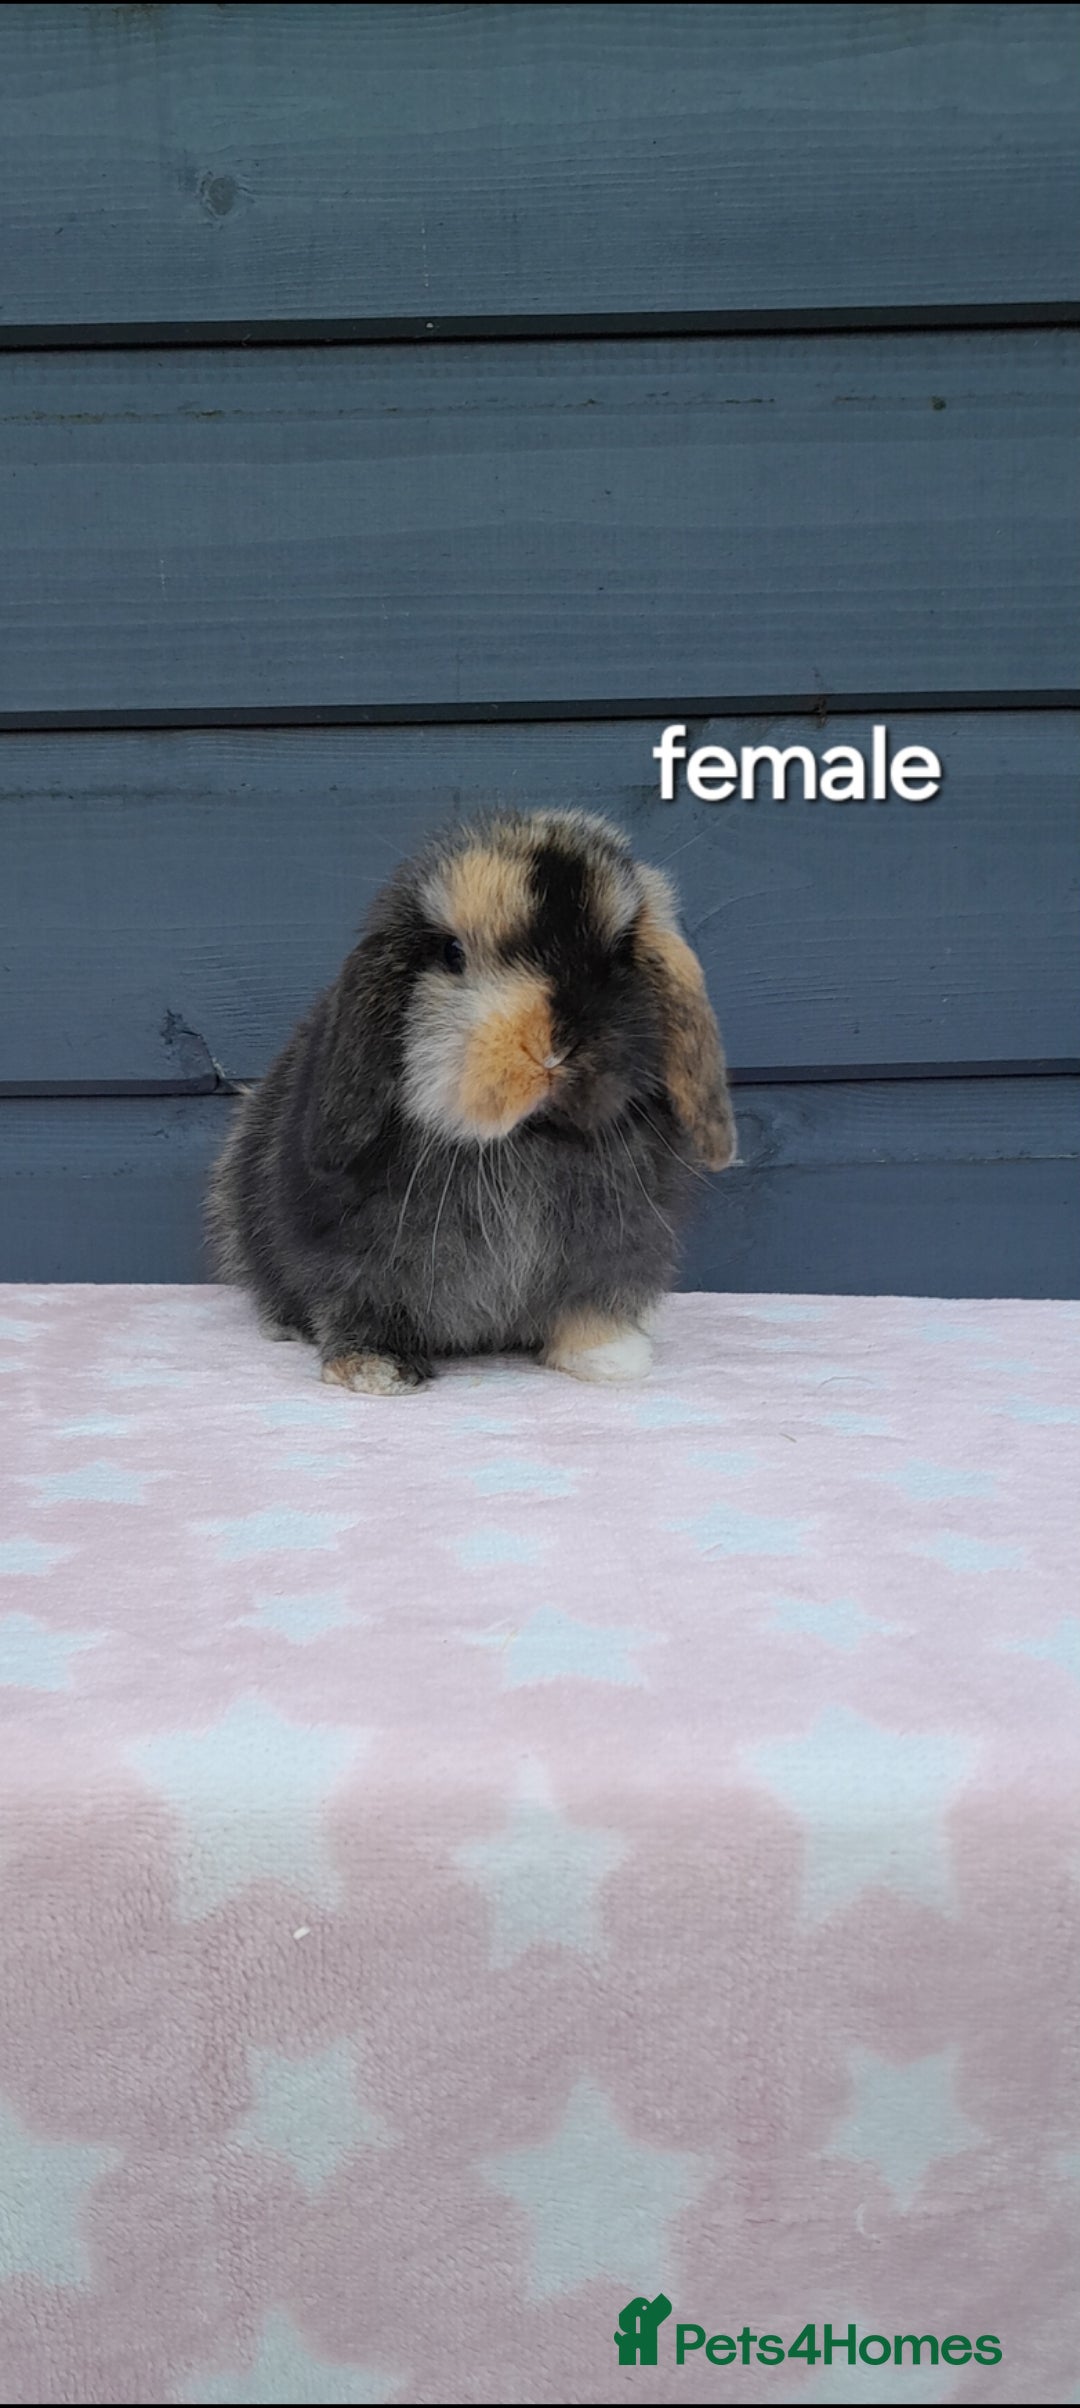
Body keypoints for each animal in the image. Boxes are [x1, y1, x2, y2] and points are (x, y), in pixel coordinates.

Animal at [207, 809, 736, 1391]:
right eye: (452, 953)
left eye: (620, 954)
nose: (552, 1049)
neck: (524, 1141)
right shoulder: (353, 1259)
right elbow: (361, 1306)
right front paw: (375, 1370)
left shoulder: (617, 1248)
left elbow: (591, 1307)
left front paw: (608, 1358)